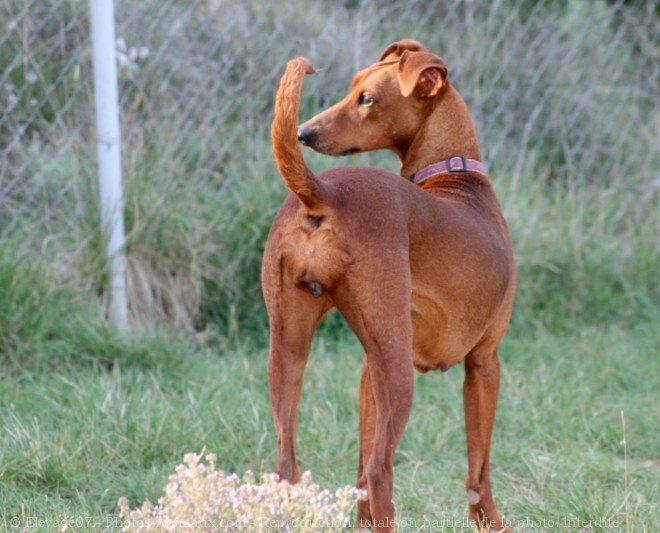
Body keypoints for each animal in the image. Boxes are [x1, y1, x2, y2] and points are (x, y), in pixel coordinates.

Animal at [262, 39, 516, 528]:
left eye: (365, 97)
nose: (304, 132)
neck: (456, 176)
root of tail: (323, 193)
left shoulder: (368, 367)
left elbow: (359, 469)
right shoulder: (484, 363)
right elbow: (479, 470)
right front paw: (491, 524)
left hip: (288, 348)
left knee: (289, 464)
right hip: (399, 373)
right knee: (381, 470)